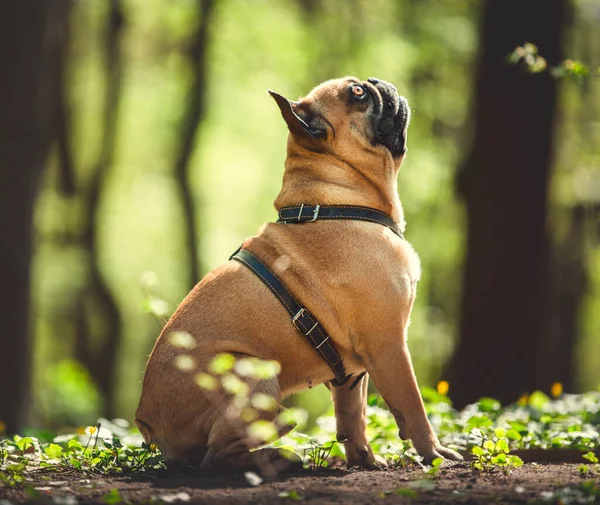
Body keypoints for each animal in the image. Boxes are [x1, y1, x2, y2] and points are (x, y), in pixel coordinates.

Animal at [136, 76, 464, 472]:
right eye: (357, 93)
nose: (375, 81)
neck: (339, 202)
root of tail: (146, 422)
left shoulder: (352, 373)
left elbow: (353, 417)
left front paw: (364, 459)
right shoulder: (389, 346)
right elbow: (412, 406)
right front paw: (435, 454)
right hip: (256, 378)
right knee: (216, 456)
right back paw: (278, 458)